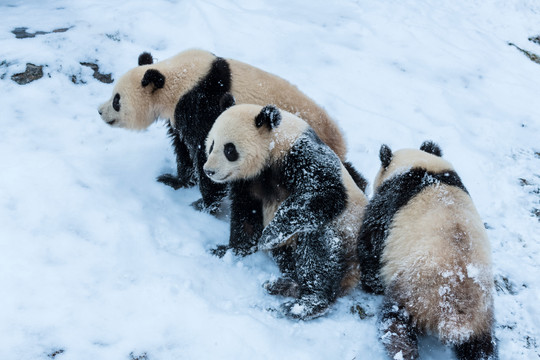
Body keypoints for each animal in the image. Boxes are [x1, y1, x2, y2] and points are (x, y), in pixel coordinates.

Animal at [202, 95, 368, 318]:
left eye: (230, 150)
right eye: (211, 144)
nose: (209, 171)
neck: (272, 144)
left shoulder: (298, 155)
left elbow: (326, 192)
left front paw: (268, 236)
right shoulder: (249, 182)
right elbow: (246, 213)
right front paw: (228, 250)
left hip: (345, 238)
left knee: (318, 247)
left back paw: (307, 303)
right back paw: (284, 286)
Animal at [356, 142, 496, 358]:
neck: (422, 165)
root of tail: (457, 314)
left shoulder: (389, 203)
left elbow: (372, 244)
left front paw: (370, 283)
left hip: (416, 290)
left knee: (396, 321)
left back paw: (401, 349)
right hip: (482, 315)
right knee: (481, 347)